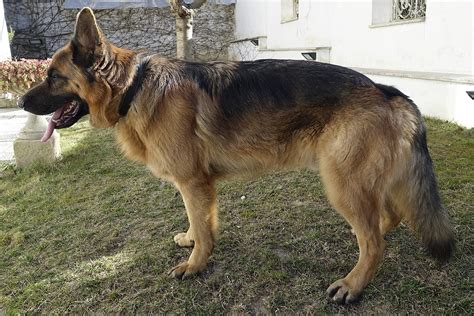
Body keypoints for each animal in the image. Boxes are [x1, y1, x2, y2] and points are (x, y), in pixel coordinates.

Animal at [19, 7, 456, 304]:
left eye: (53, 77)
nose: (20, 101)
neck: (133, 87)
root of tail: (386, 89)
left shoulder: (193, 182)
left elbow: (202, 228)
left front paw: (196, 265)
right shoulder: (195, 185)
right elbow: (199, 223)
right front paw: (192, 240)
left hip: (341, 182)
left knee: (375, 242)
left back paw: (353, 283)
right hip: (360, 180)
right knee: (388, 217)